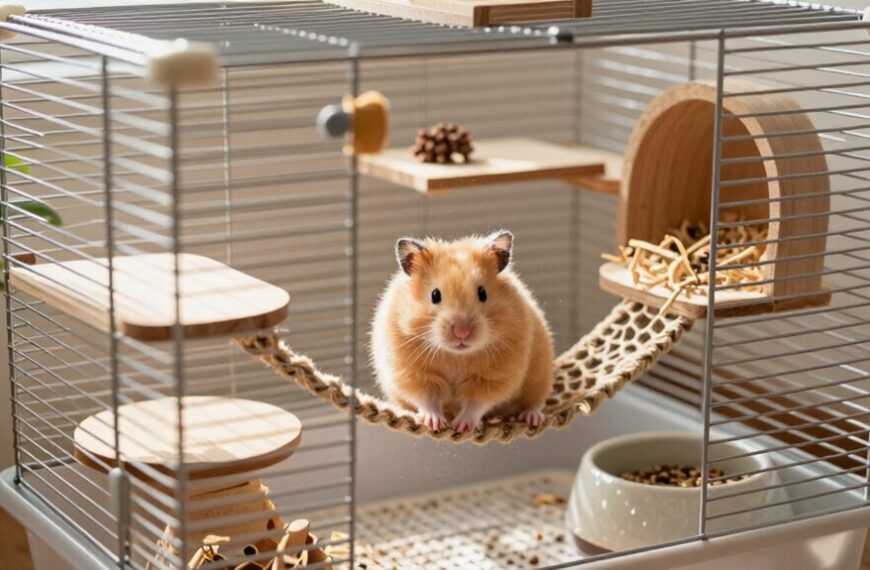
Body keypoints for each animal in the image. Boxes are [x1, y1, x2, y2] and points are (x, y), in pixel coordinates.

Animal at [370, 230, 554, 433]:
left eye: (482, 293)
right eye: (435, 295)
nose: (462, 333)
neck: (456, 356)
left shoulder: (496, 376)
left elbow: (477, 403)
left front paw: (462, 426)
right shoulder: (412, 372)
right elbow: (426, 399)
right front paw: (434, 423)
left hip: (539, 377)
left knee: (534, 402)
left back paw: (532, 418)